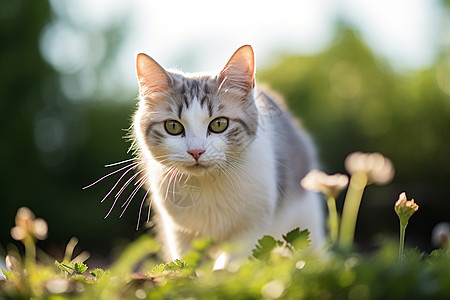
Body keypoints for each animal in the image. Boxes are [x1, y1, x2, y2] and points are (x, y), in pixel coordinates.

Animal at [133, 45, 324, 264]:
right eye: (172, 127)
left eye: (219, 124)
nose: (196, 151)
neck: (208, 185)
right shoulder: (180, 232)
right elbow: (188, 263)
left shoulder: (251, 228)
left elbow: (231, 263)